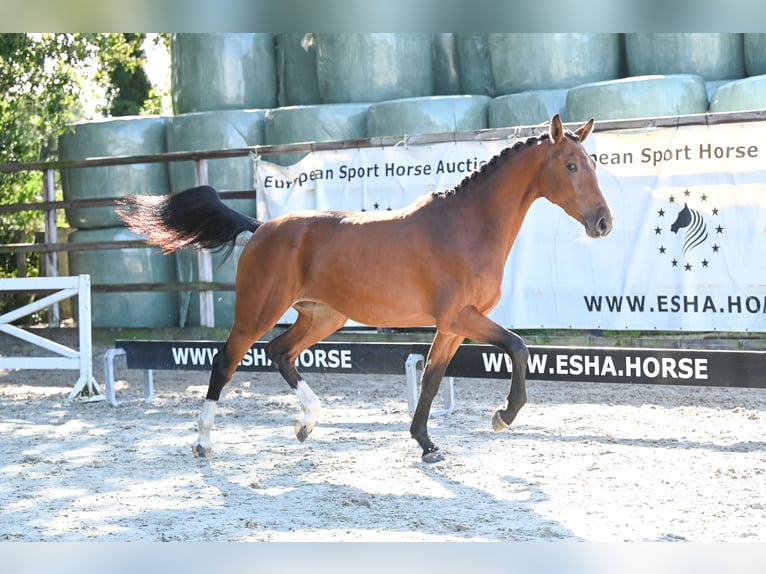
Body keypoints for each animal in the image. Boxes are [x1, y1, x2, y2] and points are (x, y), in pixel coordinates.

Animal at [118, 115, 612, 466]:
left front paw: (427, 445)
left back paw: (306, 423)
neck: (468, 226)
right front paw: (503, 415)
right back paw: (203, 443)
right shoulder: (461, 317)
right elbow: (517, 347)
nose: (603, 223)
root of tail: (261, 228)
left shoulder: (453, 327)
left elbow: (432, 380)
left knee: (280, 351)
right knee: (226, 361)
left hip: (323, 316)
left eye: (592, 164)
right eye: (571, 165)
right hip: (258, 311)